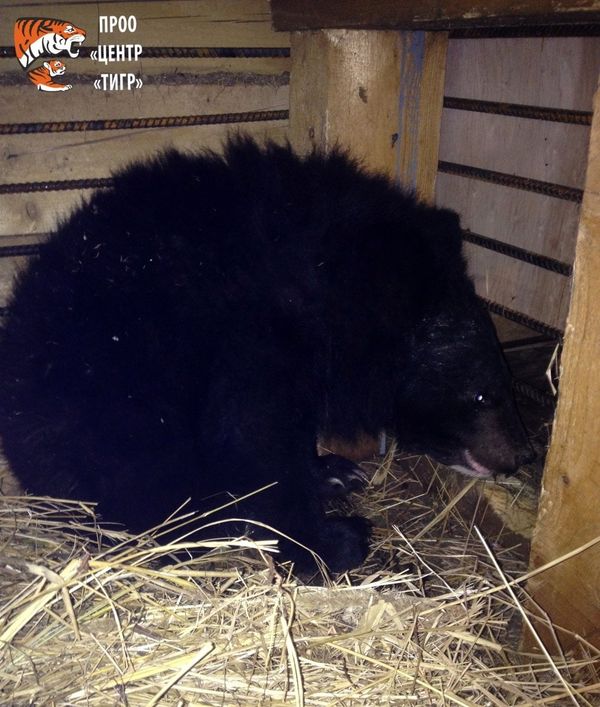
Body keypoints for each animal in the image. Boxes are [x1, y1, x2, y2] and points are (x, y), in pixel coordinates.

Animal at [0, 136, 534, 572]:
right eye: (483, 395)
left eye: (506, 385)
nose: (520, 456)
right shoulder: (250, 337)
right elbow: (255, 436)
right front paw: (331, 540)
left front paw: (332, 471)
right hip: (110, 400)